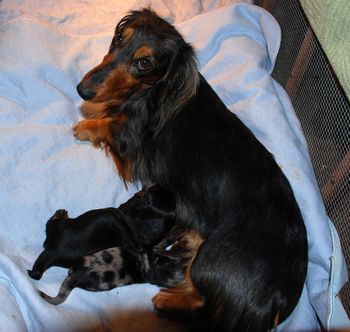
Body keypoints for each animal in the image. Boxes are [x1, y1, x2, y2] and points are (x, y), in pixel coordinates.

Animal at [27, 185, 176, 282]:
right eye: (156, 189)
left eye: (150, 191)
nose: (154, 184)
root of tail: (53, 252)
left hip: (58, 226)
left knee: (50, 222)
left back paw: (60, 214)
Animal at [72, 8, 308, 332]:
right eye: (120, 37)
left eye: (144, 63)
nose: (83, 90)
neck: (156, 91)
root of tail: (279, 299)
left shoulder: (131, 142)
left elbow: (109, 123)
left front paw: (87, 123)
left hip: (209, 260)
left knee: (202, 304)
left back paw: (166, 301)